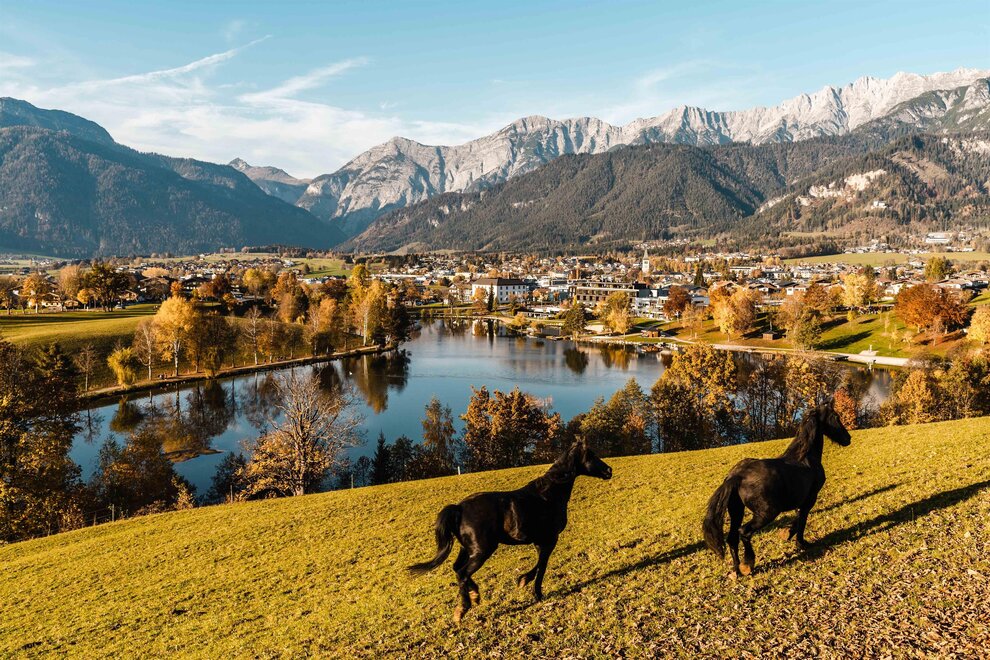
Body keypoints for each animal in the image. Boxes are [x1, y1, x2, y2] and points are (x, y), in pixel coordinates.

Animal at [408, 438, 612, 623]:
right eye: (591, 455)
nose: (608, 471)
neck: (549, 494)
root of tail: (459, 508)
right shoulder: (550, 539)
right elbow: (542, 566)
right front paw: (532, 589)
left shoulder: (540, 541)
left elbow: (540, 564)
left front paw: (525, 583)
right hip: (482, 551)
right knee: (463, 573)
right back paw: (462, 610)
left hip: (467, 549)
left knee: (457, 569)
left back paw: (475, 595)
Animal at [703, 402, 851, 578]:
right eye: (836, 416)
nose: (848, 439)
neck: (806, 458)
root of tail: (736, 476)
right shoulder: (810, 498)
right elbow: (802, 520)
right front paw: (800, 542)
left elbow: (798, 517)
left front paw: (787, 534)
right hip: (767, 513)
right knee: (744, 532)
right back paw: (748, 564)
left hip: (737, 511)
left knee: (732, 538)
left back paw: (737, 570)